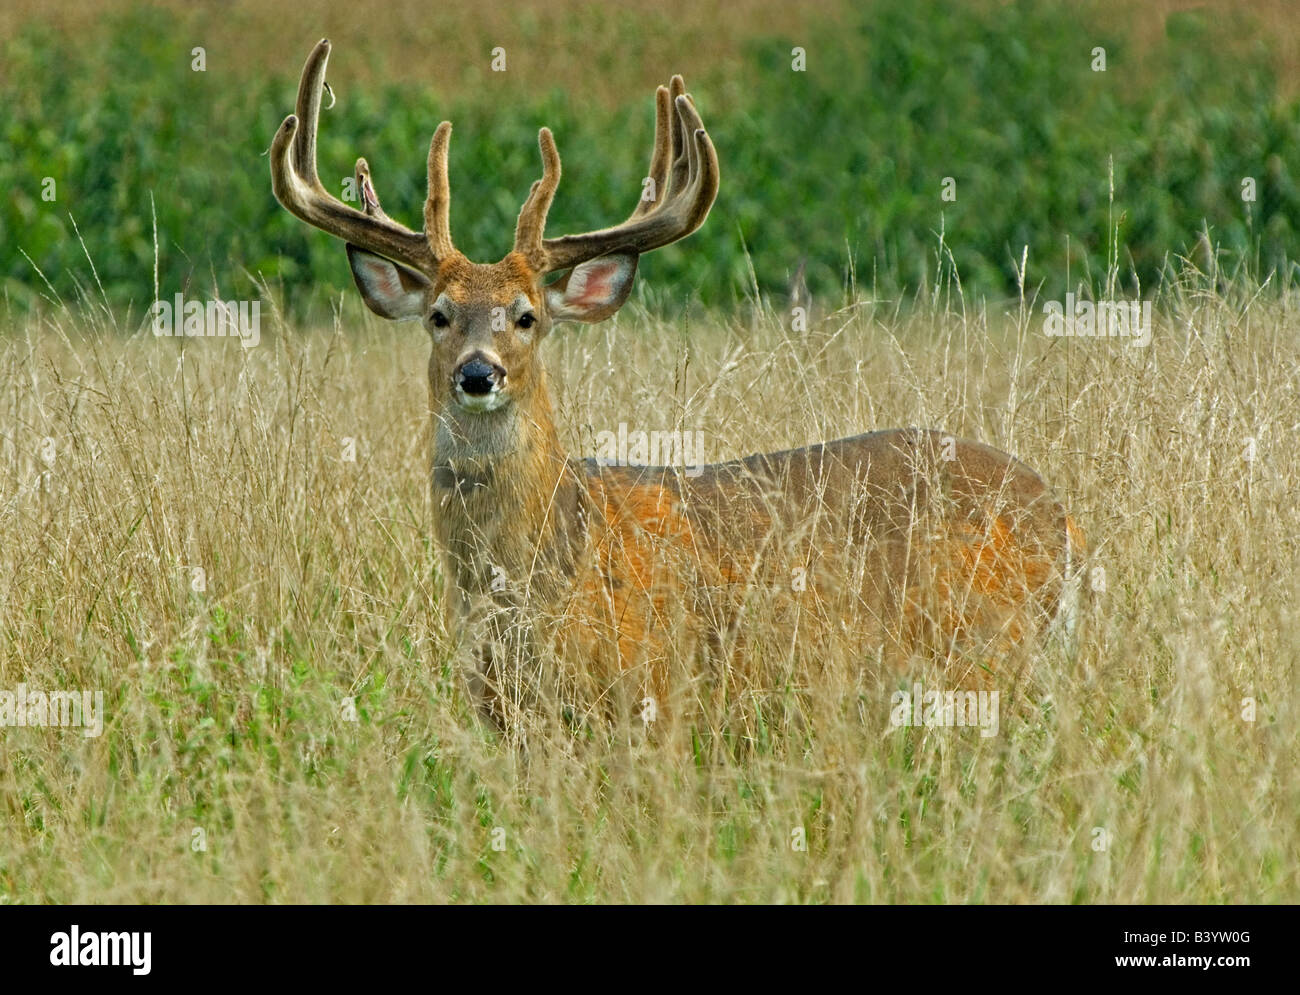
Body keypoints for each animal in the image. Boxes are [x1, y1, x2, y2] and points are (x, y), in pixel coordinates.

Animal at [270, 40, 1084, 733]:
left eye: (527, 316)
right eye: (439, 315)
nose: (478, 373)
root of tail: (1062, 518)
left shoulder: (651, 690)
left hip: (990, 647)